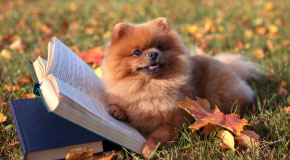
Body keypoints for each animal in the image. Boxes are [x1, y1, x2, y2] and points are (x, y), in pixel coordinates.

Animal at [101, 17, 258, 158]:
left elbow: (158, 137)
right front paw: (117, 111)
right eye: (137, 52)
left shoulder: (170, 122)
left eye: (160, 47)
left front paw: (148, 149)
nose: (153, 53)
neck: (149, 86)